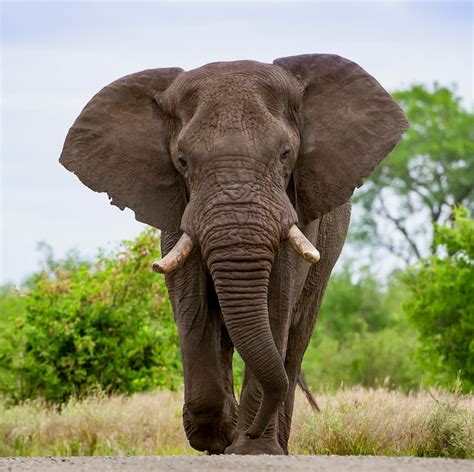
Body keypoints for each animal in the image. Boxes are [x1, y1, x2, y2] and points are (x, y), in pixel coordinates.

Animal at [59, 53, 408, 456]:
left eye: (285, 154)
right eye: (181, 161)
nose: (247, 432)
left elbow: (276, 302)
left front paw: (251, 449)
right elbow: (191, 304)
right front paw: (218, 436)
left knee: (295, 339)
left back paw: (275, 444)